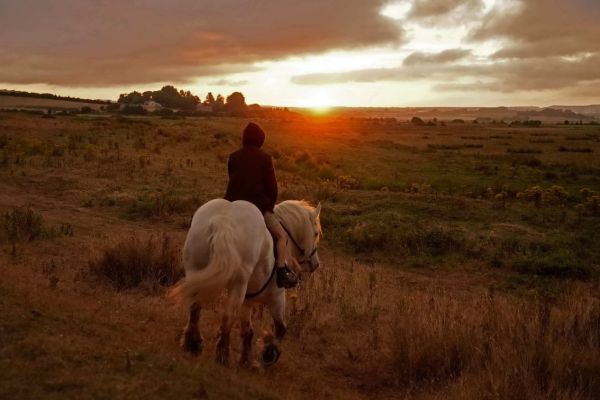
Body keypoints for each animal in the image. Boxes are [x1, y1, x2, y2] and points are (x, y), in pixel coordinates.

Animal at [171, 198, 322, 368]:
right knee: (227, 315)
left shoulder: (248, 300)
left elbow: (248, 331)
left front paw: (246, 360)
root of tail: (222, 221)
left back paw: (193, 343)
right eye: (316, 233)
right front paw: (269, 353)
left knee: (195, 306)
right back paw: (222, 356)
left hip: (195, 269)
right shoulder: (277, 296)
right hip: (238, 285)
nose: (315, 264)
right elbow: (280, 328)